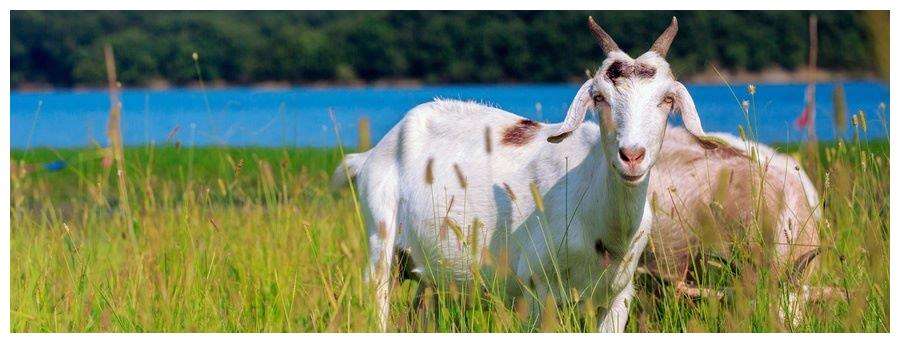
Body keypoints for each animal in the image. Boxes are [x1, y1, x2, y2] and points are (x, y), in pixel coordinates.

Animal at [334, 16, 720, 334]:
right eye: (599, 97)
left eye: (667, 100)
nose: (632, 156)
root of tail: (372, 154)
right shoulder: (538, 290)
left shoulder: (618, 296)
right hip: (381, 240)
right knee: (379, 298)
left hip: (427, 271)